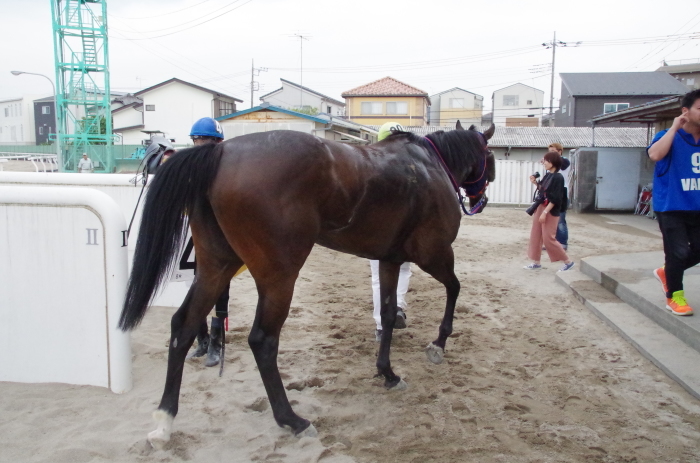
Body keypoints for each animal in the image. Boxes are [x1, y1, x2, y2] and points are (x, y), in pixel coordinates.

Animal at [117, 121, 494, 448]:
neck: (428, 166)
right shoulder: (434, 254)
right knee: (263, 341)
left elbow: (387, 315)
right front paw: (439, 342)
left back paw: (165, 421)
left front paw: (387, 372)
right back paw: (291, 420)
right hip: (279, 276)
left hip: (215, 266)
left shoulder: (389, 259)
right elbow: (455, 288)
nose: (481, 200)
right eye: (489, 157)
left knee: (183, 326)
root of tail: (220, 152)